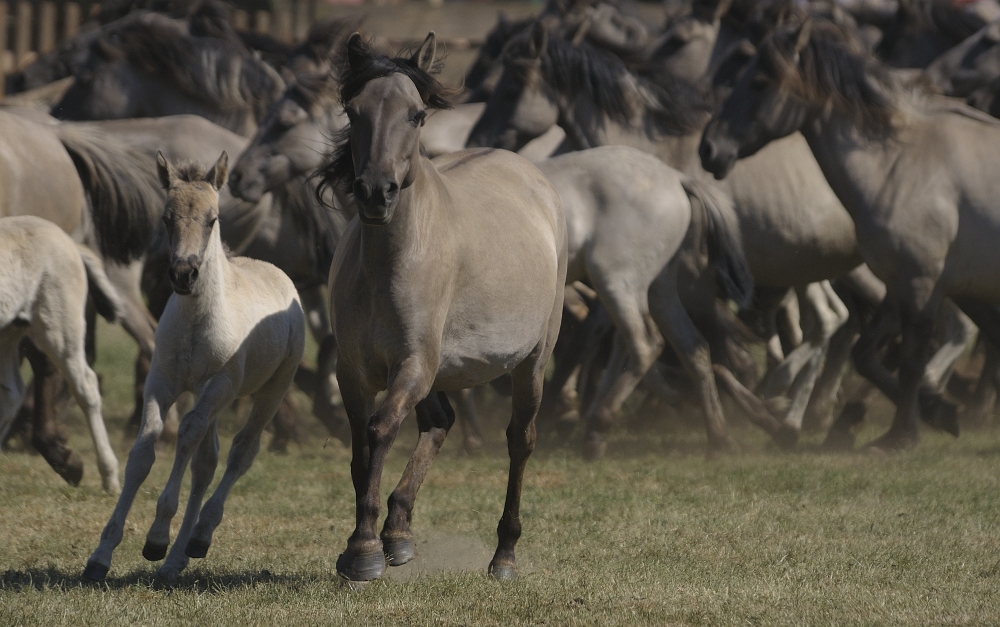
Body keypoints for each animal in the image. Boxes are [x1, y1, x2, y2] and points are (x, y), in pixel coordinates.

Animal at [0, 216, 123, 496]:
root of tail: (70, 243)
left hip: (59, 329)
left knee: (86, 387)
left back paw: (109, 478)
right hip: (10, 331)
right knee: (12, 392)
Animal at [82, 153, 304, 584]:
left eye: (213, 218)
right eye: (166, 218)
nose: (184, 274)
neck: (196, 322)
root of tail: (279, 274)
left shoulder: (218, 385)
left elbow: (185, 437)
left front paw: (156, 538)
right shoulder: (162, 383)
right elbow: (144, 449)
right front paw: (101, 555)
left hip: (268, 389)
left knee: (240, 453)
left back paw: (198, 537)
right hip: (213, 399)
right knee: (207, 462)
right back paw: (176, 560)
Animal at [324, 33, 568, 584]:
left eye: (416, 115)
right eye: (353, 110)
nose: (376, 193)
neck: (389, 264)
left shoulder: (414, 363)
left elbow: (380, 431)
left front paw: (364, 551)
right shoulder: (352, 371)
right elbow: (360, 450)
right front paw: (365, 543)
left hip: (533, 361)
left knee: (520, 439)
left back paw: (503, 556)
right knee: (439, 421)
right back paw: (399, 532)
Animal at [700, 20, 1000, 452]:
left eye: (759, 82)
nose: (709, 149)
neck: (899, 164)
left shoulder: (920, 282)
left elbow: (911, 358)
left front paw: (899, 437)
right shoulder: (899, 280)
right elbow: (866, 353)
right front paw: (936, 411)